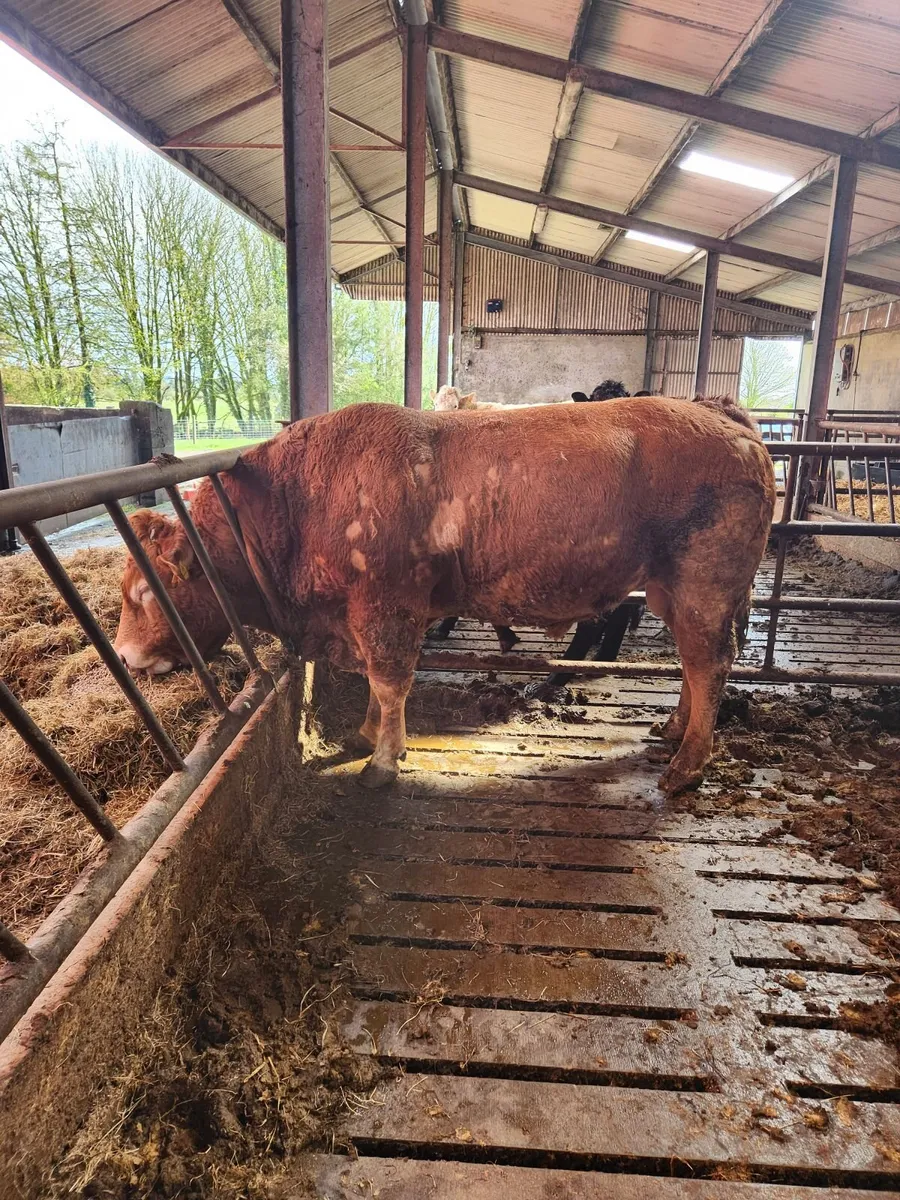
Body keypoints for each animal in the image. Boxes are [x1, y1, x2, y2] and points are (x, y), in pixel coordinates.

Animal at [114, 396, 775, 796]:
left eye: (145, 590)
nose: (123, 655)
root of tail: (723, 418)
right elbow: (375, 684)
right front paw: (365, 735)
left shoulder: (387, 607)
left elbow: (389, 680)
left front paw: (383, 760)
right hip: (671, 588)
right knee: (694, 665)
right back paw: (673, 732)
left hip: (705, 584)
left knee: (709, 664)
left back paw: (688, 763)